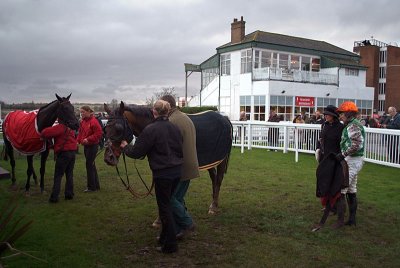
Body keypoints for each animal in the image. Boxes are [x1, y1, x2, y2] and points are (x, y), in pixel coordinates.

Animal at [103, 101, 233, 215]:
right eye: (105, 128)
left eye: (119, 128)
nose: (108, 158)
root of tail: (225, 119)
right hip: (211, 160)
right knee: (214, 178)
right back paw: (213, 204)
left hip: (222, 159)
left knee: (219, 179)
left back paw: (214, 206)